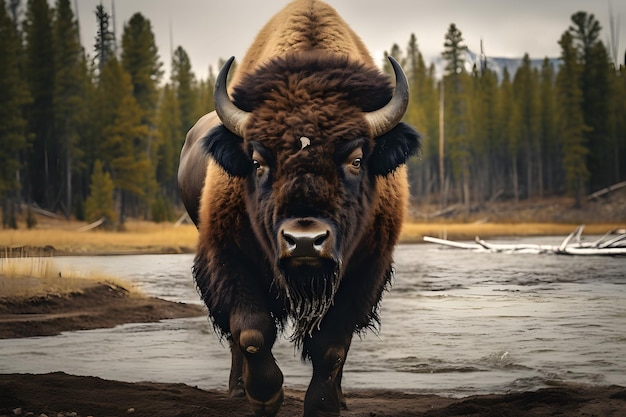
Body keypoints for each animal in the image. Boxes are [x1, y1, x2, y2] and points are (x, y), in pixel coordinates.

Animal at [177, 1, 420, 414]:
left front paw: (323, 404)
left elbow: (332, 348)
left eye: (356, 159)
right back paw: (237, 389)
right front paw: (264, 396)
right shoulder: (228, 256)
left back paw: (340, 398)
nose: (304, 241)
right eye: (258, 161)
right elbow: (252, 333)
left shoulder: (363, 272)